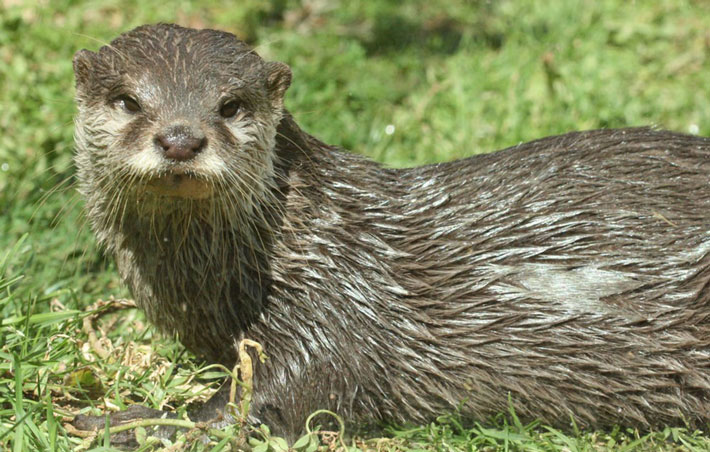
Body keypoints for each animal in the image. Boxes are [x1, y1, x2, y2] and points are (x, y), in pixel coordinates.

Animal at [72, 23, 710, 442]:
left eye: (230, 105)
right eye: (127, 100)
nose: (181, 138)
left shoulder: (333, 314)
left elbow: (267, 404)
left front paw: (117, 421)